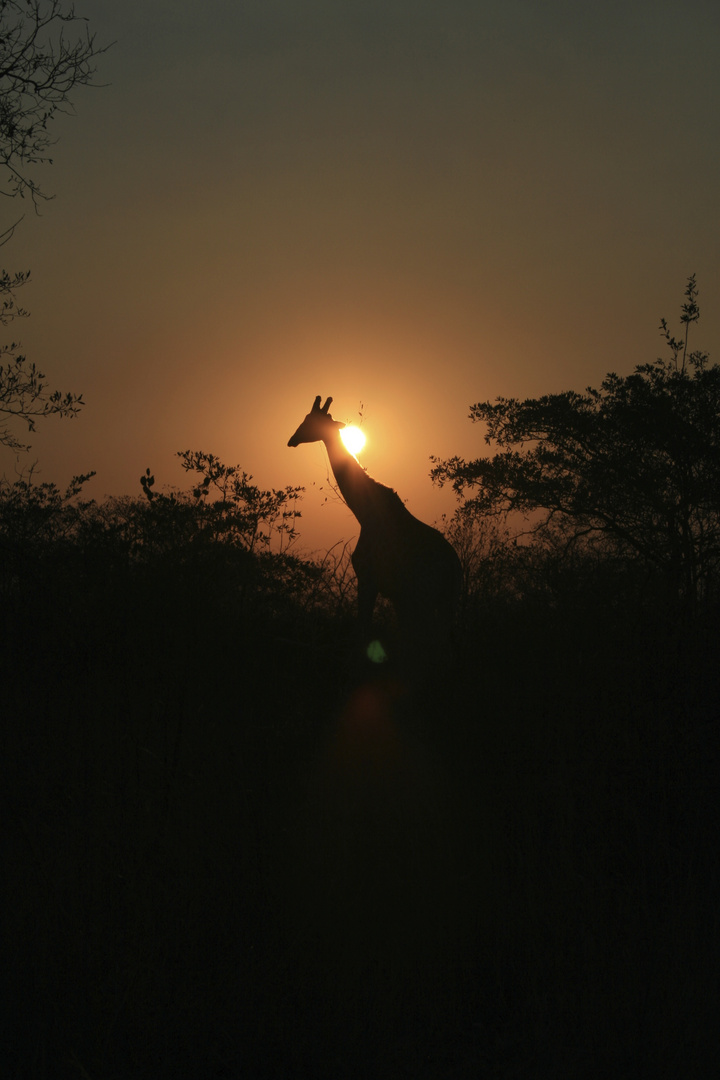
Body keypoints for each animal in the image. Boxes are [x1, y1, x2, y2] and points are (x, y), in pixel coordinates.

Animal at [287, 399, 462, 643]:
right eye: (305, 418)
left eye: (312, 421)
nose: (292, 440)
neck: (366, 514)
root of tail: (455, 566)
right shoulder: (394, 593)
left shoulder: (369, 579)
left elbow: (363, 629)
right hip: (441, 602)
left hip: (426, 598)